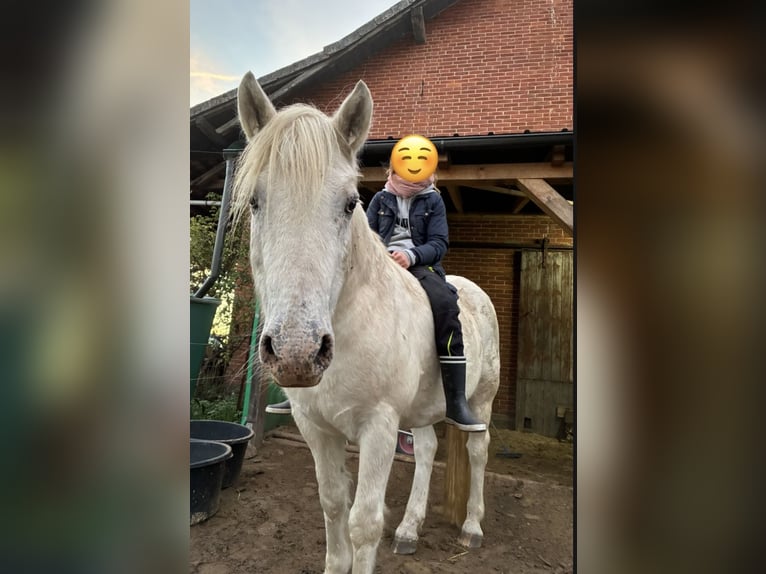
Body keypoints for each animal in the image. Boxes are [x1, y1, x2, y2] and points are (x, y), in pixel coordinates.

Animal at [232, 71, 500, 574]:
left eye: (349, 203)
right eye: (255, 201)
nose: (297, 353)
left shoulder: (378, 427)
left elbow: (363, 523)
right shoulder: (317, 430)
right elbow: (333, 503)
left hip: (481, 400)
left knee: (477, 451)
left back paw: (473, 527)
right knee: (427, 449)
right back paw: (410, 529)